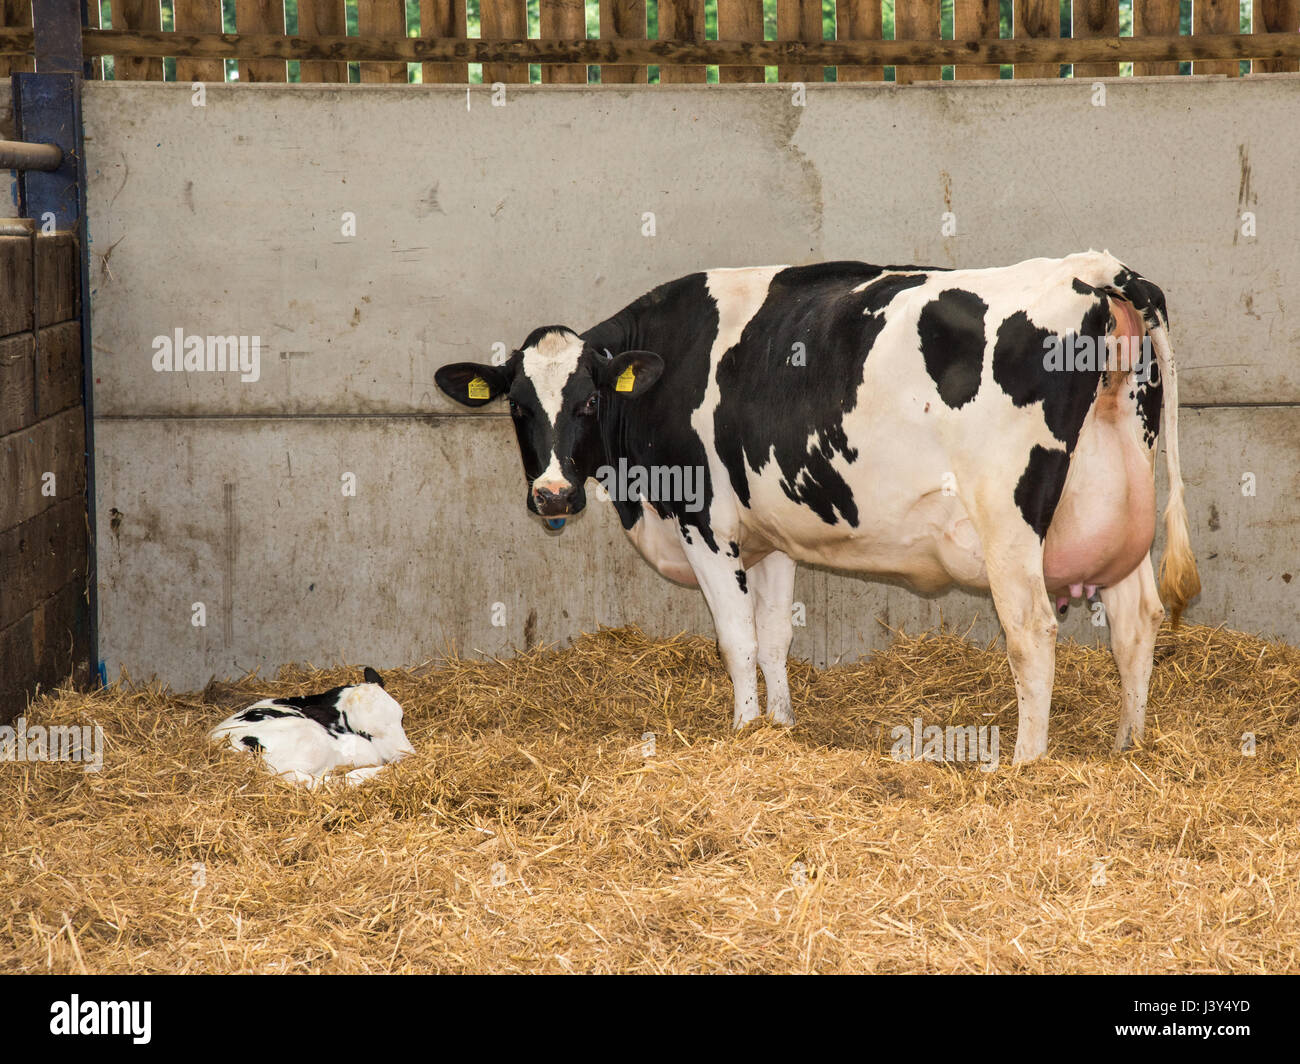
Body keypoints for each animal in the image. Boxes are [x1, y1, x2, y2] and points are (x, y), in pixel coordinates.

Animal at [436, 252, 1196, 759]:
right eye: (518, 406)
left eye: (588, 401)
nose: (552, 493)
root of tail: (1091, 267)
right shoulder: (769, 534)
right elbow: (775, 636)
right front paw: (781, 727)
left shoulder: (703, 521)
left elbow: (737, 638)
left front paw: (744, 731)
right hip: (1117, 500)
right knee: (1136, 622)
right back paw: (1128, 748)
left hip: (1008, 519)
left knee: (1033, 632)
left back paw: (1023, 764)